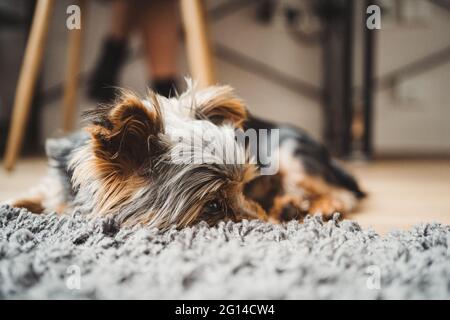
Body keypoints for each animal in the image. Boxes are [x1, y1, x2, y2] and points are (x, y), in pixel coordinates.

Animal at [7, 81, 366, 229]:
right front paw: (15, 204)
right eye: (213, 206)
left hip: (290, 155)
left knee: (341, 193)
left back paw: (316, 206)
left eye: (244, 190)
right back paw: (289, 205)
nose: (266, 225)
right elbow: (36, 196)